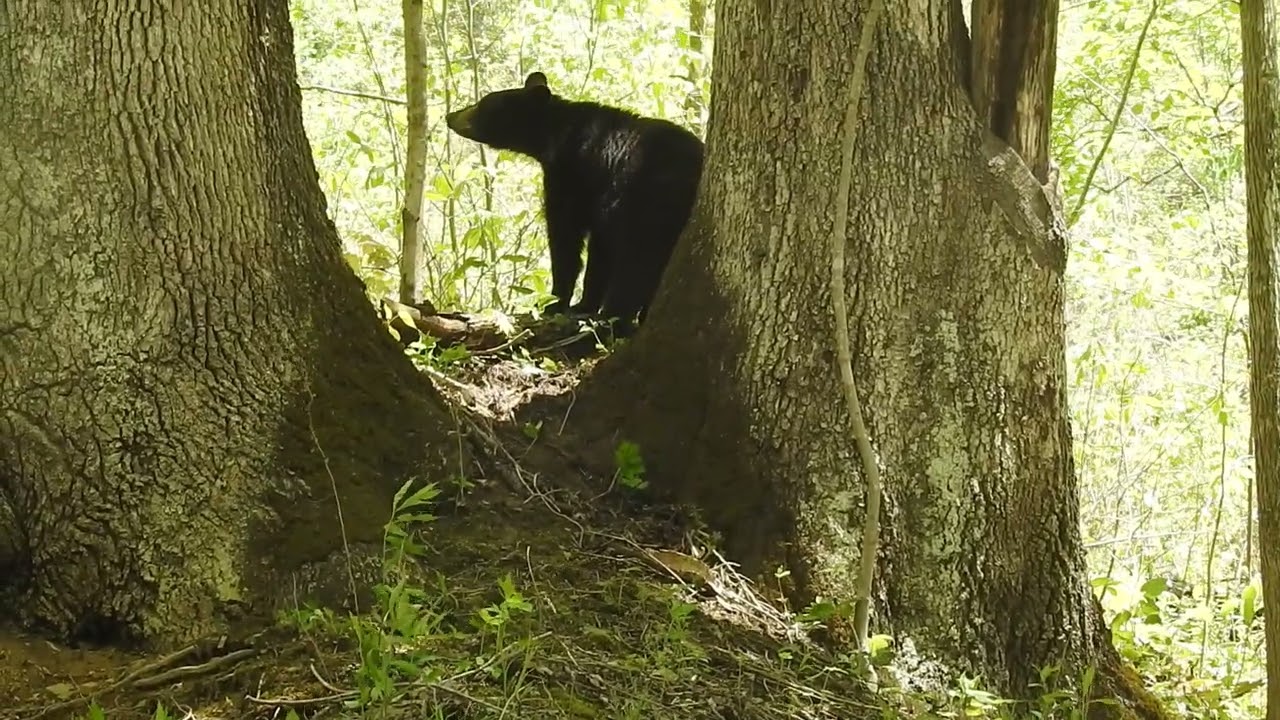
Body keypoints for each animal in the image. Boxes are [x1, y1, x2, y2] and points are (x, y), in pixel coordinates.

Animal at [445, 71, 704, 337]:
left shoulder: (572, 180)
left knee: (636, 266)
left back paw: (614, 320)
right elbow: (599, 253)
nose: (450, 116)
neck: (560, 135)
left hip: (651, 208)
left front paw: (555, 303)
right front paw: (583, 304)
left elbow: (566, 240)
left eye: (483, 104)